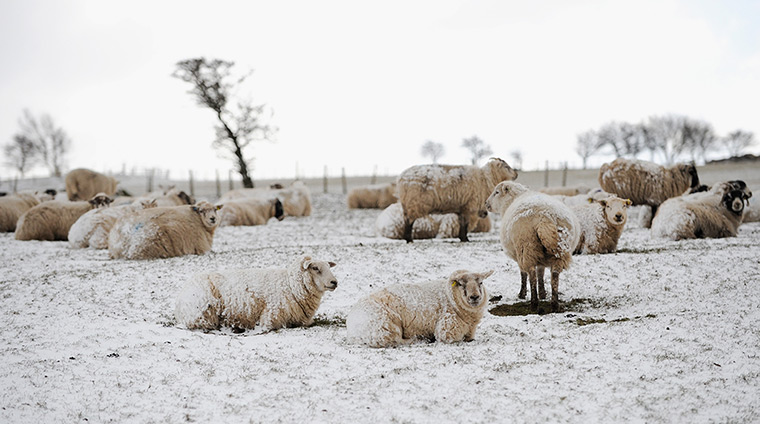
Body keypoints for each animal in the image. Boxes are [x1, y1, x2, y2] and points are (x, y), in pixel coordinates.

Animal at [174, 255, 338, 332]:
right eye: (315, 268)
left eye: (328, 267)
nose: (334, 282)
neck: (290, 286)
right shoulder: (270, 319)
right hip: (204, 310)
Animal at [346, 269, 493, 347]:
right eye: (461, 284)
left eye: (481, 283)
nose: (475, 297)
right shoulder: (446, 330)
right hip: (386, 327)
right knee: (396, 341)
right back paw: (420, 339)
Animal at [485, 181, 580, 312]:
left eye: (497, 192)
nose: (486, 204)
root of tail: (545, 217)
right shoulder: (541, 257)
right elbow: (541, 272)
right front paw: (543, 293)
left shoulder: (519, 255)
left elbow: (523, 274)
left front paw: (522, 294)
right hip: (558, 248)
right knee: (555, 274)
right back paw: (554, 304)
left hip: (526, 246)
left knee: (531, 274)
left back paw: (534, 303)